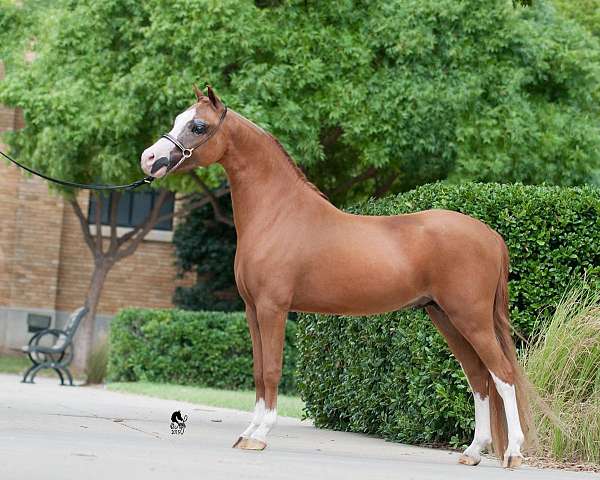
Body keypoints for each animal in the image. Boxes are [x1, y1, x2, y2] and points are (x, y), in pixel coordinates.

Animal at [142, 86, 536, 468]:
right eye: (178, 119)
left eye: (198, 126)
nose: (149, 158)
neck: (278, 214)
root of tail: (491, 236)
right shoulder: (252, 310)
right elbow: (257, 370)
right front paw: (249, 432)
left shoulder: (273, 308)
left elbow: (271, 370)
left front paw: (261, 434)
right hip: (445, 317)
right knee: (479, 378)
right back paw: (473, 451)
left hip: (471, 318)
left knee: (503, 374)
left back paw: (513, 453)